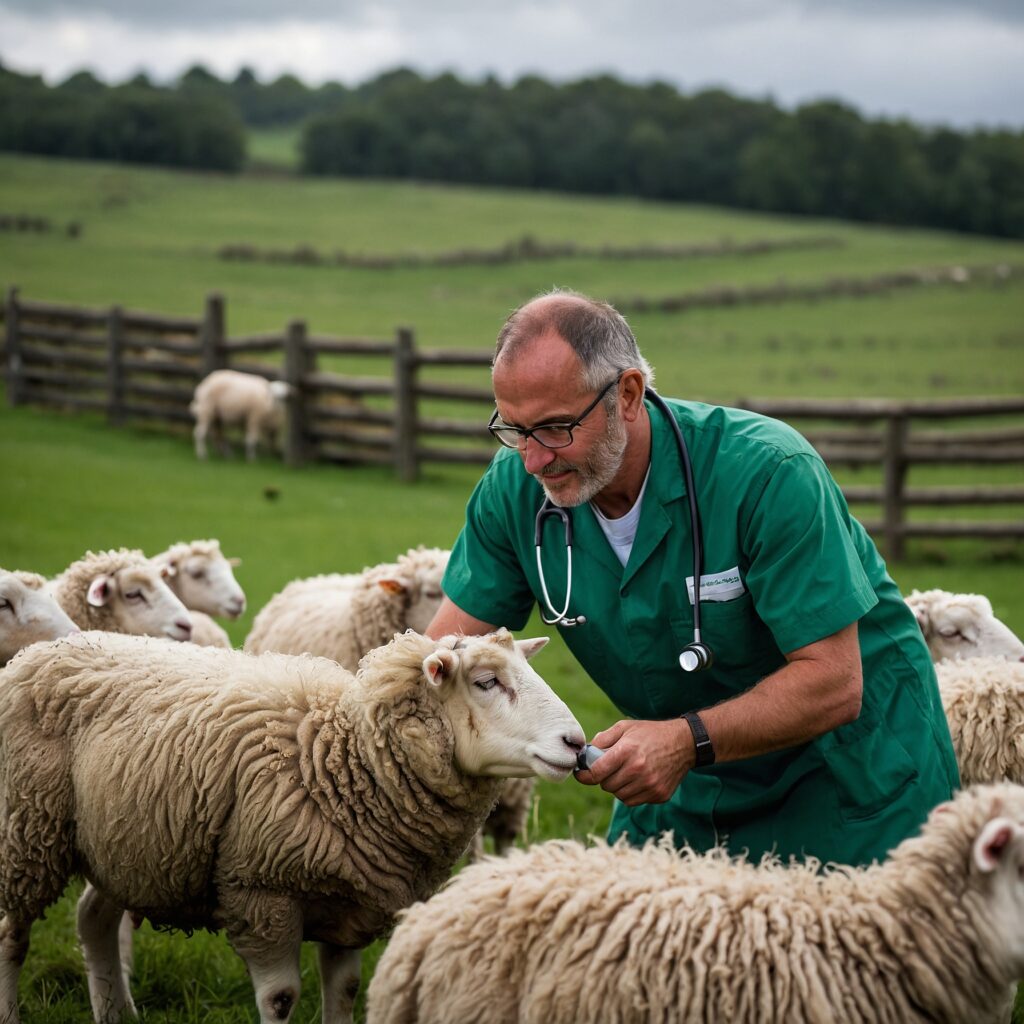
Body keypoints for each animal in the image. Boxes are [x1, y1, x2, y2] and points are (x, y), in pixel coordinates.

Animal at [0, 622, 585, 1024]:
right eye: (487, 681)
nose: (578, 744)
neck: (344, 755)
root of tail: (41, 651)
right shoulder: (262, 893)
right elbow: (280, 998)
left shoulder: (355, 896)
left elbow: (344, 991)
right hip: (27, 828)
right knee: (11, 934)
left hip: (126, 840)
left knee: (92, 919)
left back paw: (116, 1013)